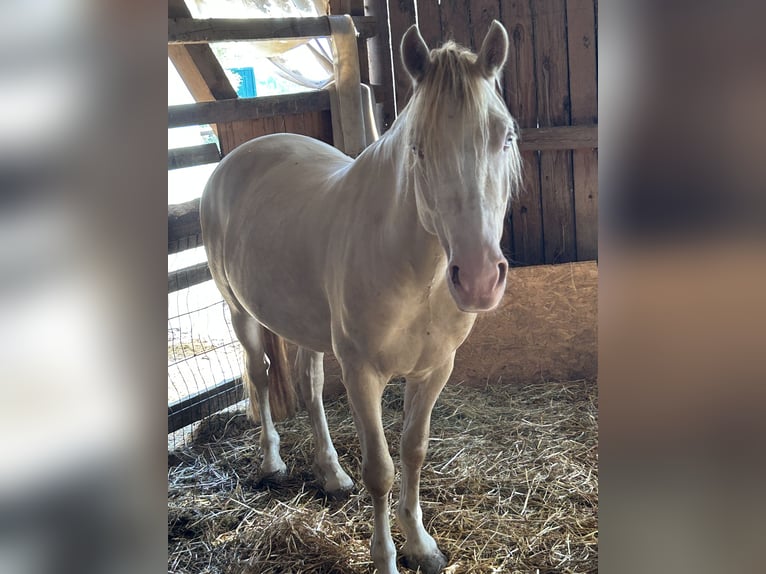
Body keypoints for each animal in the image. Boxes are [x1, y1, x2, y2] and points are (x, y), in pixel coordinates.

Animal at [201, 20, 524, 572]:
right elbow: (381, 469)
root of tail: (236, 158)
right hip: (239, 313)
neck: (419, 276)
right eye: (418, 147)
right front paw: (386, 557)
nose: (480, 278)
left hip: (302, 324)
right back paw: (272, 462)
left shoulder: (434, 370)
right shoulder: (362, 374)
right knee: (260, 378)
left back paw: (331, 474)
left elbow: (413, 451)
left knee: (309, 386)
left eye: (505, 136)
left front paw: (421, 545)